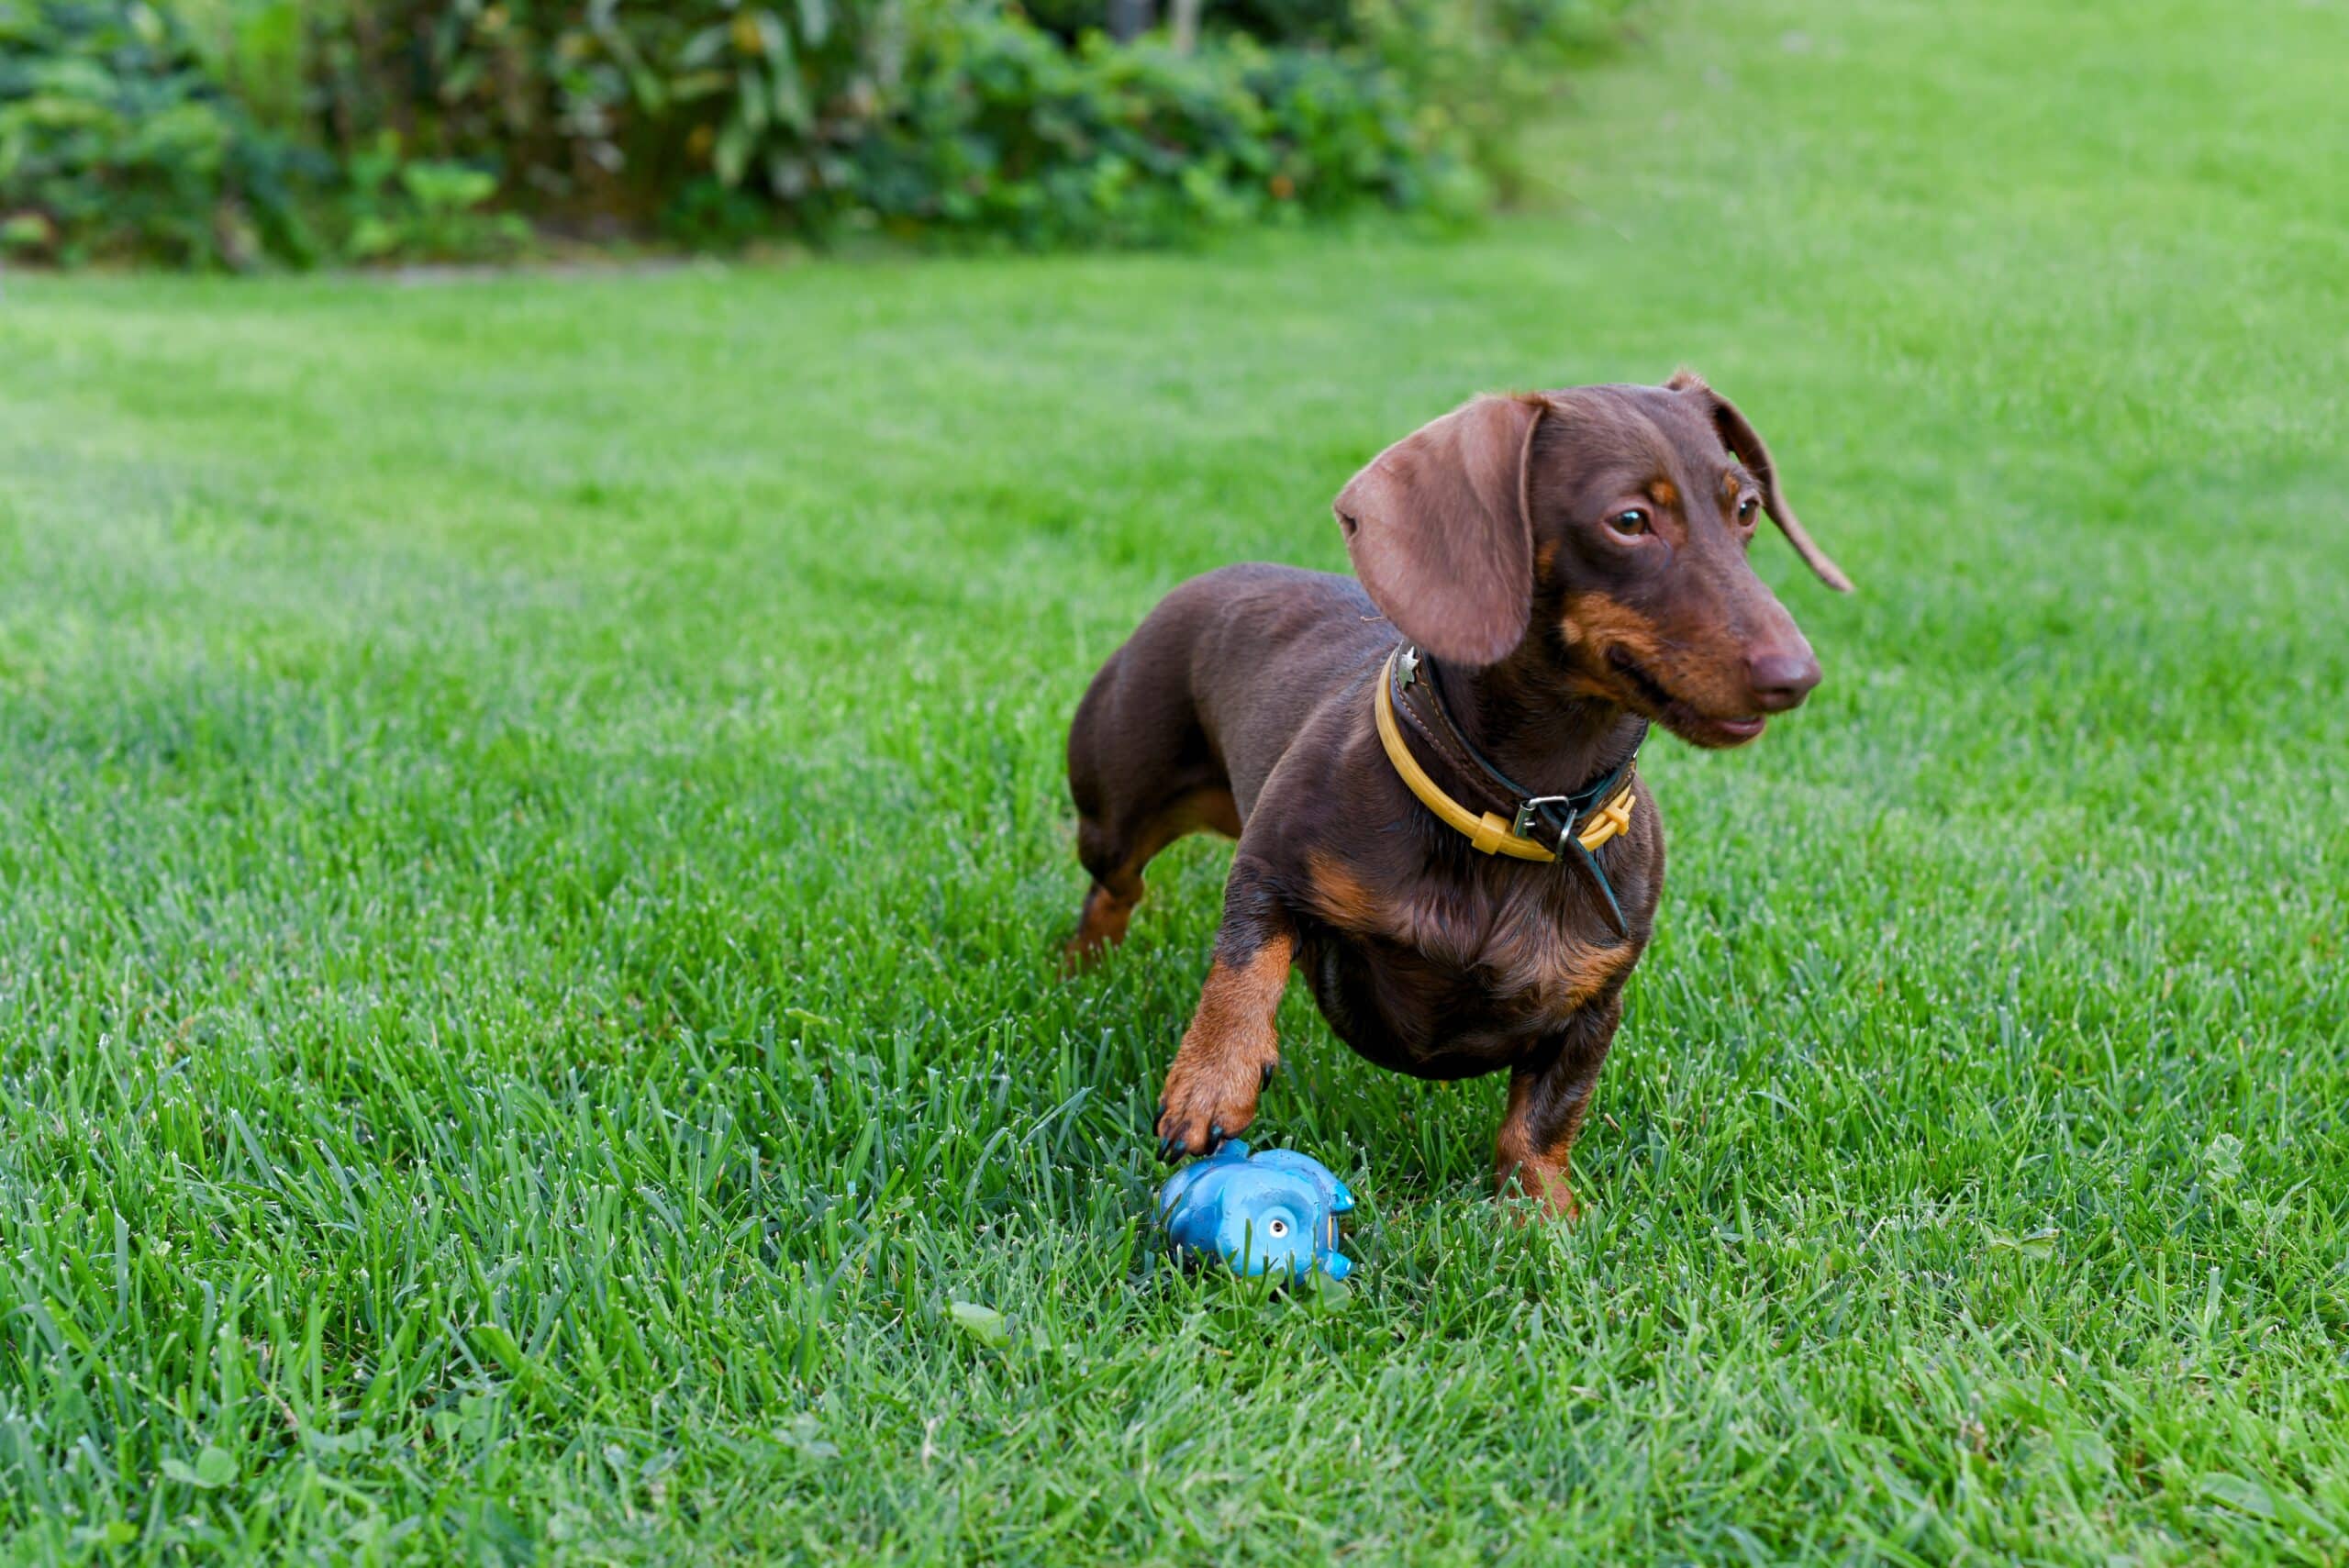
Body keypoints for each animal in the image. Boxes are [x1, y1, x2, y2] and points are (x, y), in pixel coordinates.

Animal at [1057, 373, 1842, 1220]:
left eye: (1747, 508)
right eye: (1630, 520)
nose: (1799, 676)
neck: (1522, 811)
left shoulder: (1595, 1003)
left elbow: (1545, 1118)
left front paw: (1543, 1217)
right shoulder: (1272, 863)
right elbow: (1245, 962)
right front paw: (1211, 1082)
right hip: (1114, 814)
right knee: (1115, 888)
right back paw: (1081, 971)